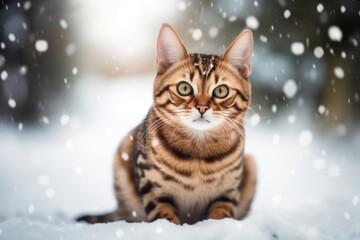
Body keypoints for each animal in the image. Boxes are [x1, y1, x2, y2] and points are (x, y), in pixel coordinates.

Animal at [76, 23, 256, 224]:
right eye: (184, 88)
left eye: (221, 91)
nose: (202, 107)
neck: (198, 157)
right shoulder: (152, 188)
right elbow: (164, 218)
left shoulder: (228, 191)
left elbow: (220, 216)